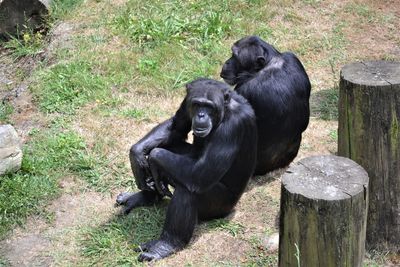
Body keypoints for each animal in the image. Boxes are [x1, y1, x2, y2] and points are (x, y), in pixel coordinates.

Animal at [117, 78, 258, 262]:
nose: (201, 115)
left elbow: (201, 173)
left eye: (209, 107)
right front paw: (137, 154)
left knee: (187, 189)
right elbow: (176, 127)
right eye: (197, 105)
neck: (225, 111)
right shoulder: (186, 101)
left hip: (220, 206)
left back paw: (166, 245)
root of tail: (232, 208)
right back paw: (143, 197)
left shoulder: (232, 127)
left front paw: (153, 158)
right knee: (170, 144)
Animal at [220, 35, 310, 176]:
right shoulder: (293, 59)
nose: (227, 62)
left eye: (236, 57)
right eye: (232, 54)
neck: (268, 64)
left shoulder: (244, 90)